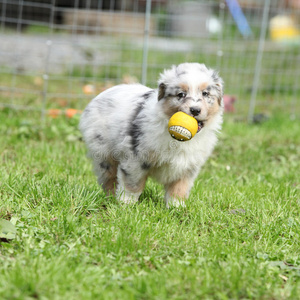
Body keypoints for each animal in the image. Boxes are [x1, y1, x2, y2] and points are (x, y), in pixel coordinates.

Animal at [79, 62, 223, 209]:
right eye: (181, 94)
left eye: (205, 93)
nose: (195, 110)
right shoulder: (135, 159)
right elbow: (132, 184)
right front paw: (126, 204)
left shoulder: (187, 167)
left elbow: (178, 189)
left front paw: (176, 208)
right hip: (104, 154)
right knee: (109, 178)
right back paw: (111, 199)